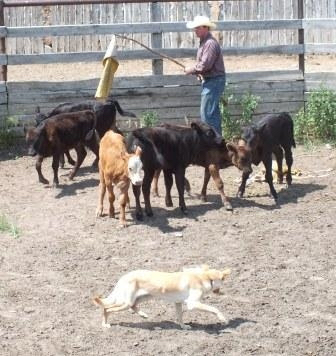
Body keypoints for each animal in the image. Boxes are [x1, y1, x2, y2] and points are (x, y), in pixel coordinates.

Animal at [92, 266, 231, 330]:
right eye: (223, 279)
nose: (222, 292)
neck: (205, 277)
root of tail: (124, 276)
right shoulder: (192, 304)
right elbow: (214, 309)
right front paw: (223, 319)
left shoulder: (178, 303)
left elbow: (180, 317)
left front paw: (183, 327)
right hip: (126, 302)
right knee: (107, 309)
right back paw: (105, 324)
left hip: (143, 297)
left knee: (133, 306)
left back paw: (143, 315)